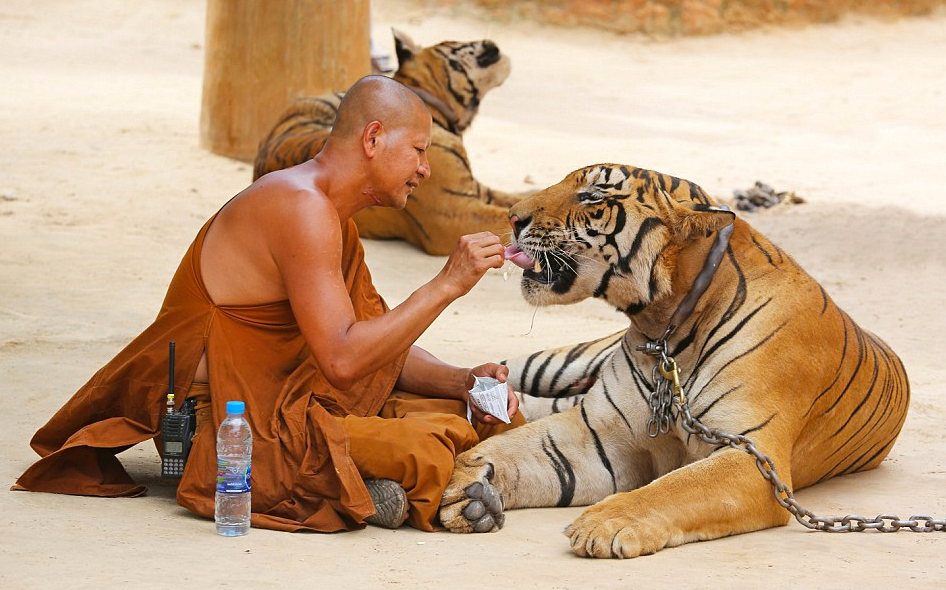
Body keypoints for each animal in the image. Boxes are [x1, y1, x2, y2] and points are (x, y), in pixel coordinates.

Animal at [253, 29, 524, 256]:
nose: (491, 42)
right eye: (457, 40)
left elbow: (517, 197)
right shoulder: (452, 212)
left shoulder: (477, 190)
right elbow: (501, 216)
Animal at [438, 163, 912, 560]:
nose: (512, 218)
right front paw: (467, 482)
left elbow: (675, 487)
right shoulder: (598, 433)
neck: (664, 328)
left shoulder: (754, 455)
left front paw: (606, 523)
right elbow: (521, 448)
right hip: (558, 361)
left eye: (592, 195)